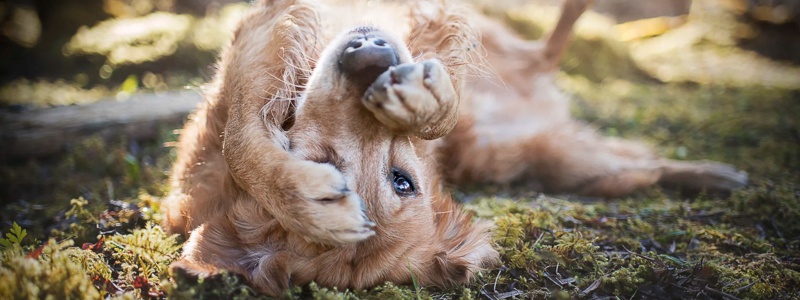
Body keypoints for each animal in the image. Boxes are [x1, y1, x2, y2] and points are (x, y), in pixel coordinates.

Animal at [162, 0, 752, 296]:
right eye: (322, 166)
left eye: (403, 181)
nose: (372, 61)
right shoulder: (264, 38)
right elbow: (243, 135)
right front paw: (304, 199)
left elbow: (442, 95)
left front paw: (425, 103)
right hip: (561, 161)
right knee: (637, 162)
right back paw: (717, 176)